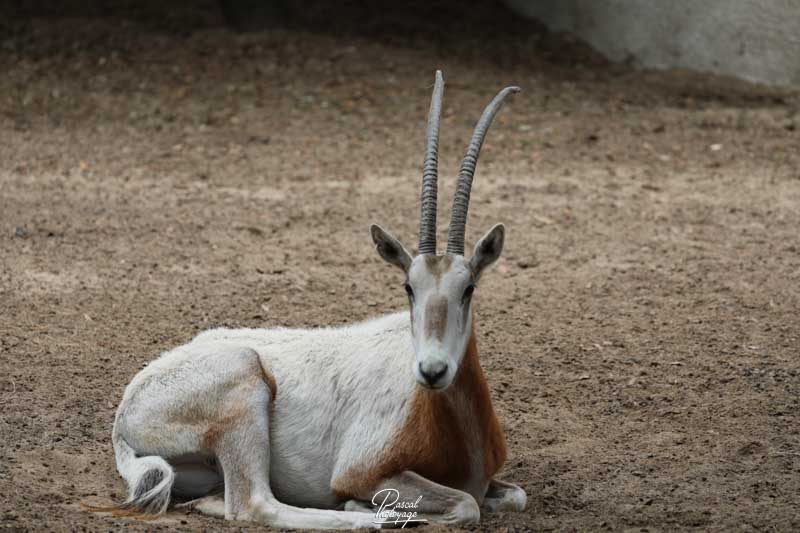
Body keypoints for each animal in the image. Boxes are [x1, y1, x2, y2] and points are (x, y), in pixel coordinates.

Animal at [100, 71, 524, 528]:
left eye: (469, 288)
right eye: (409, 287)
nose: (432, 371)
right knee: (254, 504)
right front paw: (365, 506)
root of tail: (126, 413)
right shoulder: (363, 472)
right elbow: (465, 504)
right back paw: (368, 518)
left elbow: (513, 496)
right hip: (245, 386)